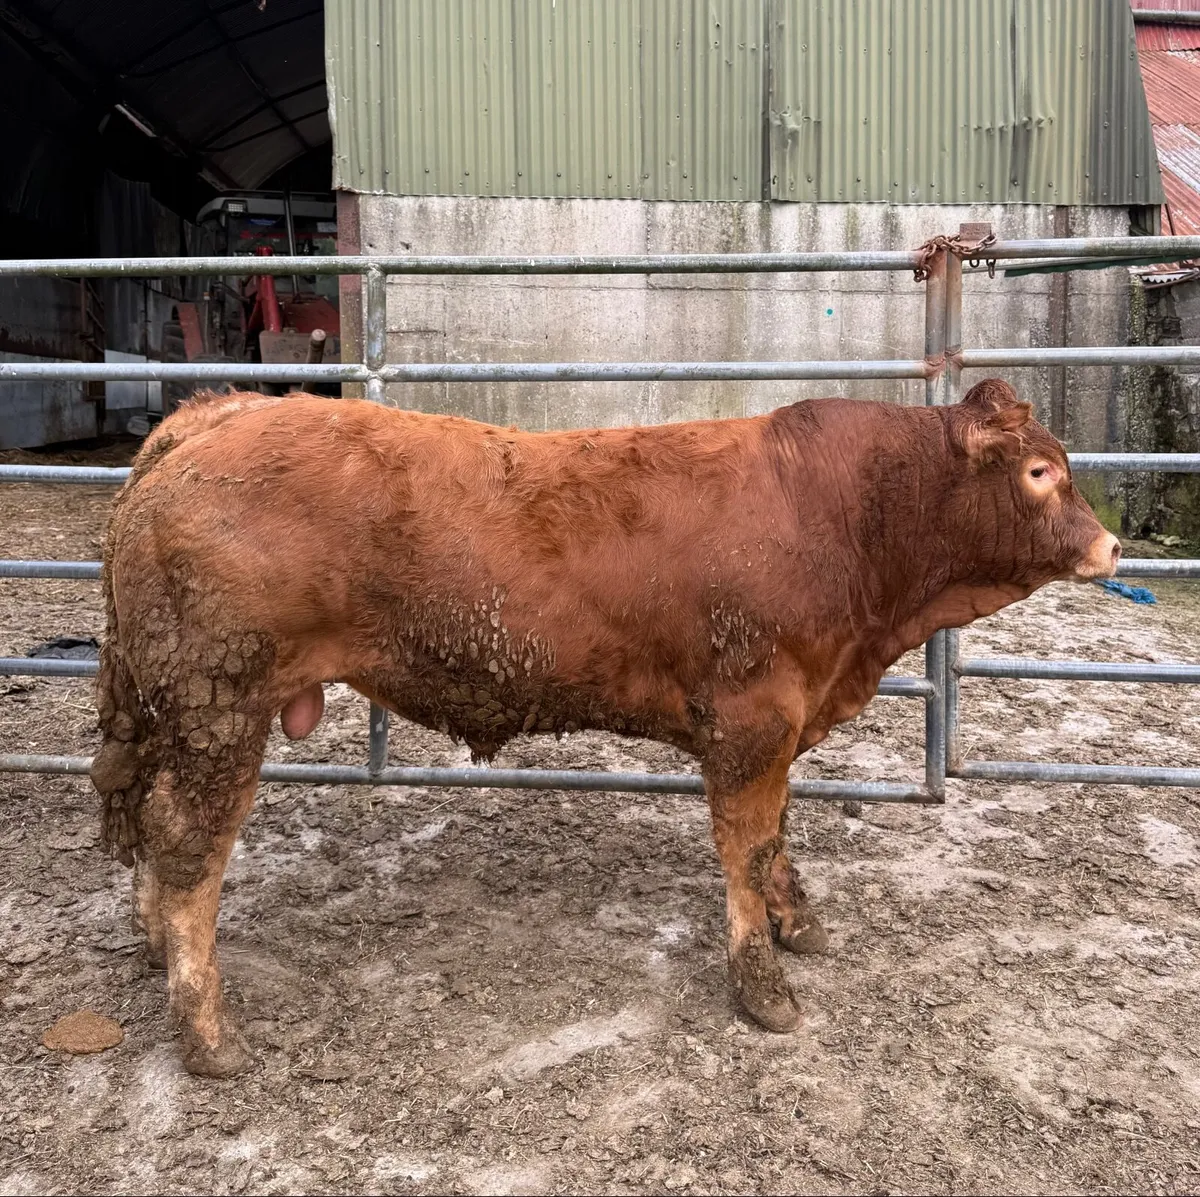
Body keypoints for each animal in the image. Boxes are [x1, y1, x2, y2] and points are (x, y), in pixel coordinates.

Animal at [89, 380, 1119, 1077]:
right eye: (1040, 472)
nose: (1111, 546)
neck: (847, 519)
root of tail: (215, 413)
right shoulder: (751, 718)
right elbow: (747, 846)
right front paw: (764, 987)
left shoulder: (785, 723)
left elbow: (778, 837)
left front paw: (798, 923)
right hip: (222, 701)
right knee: (188, 841)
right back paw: (208, 1030)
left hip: (176, 704)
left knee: (149, 816)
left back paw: (156, 945)